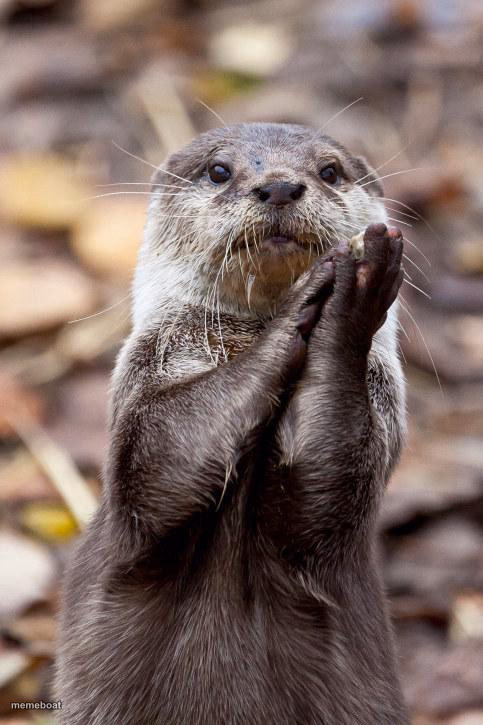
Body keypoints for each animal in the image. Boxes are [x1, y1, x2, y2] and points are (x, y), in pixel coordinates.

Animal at [56, 123, 409, 724]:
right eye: (219, 171)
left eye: (330, 171)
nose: (280, 187)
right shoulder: (143, 407)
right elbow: (160, 460)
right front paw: (324, 297)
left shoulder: (376, 431)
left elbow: (324, 484)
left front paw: (353, 291)